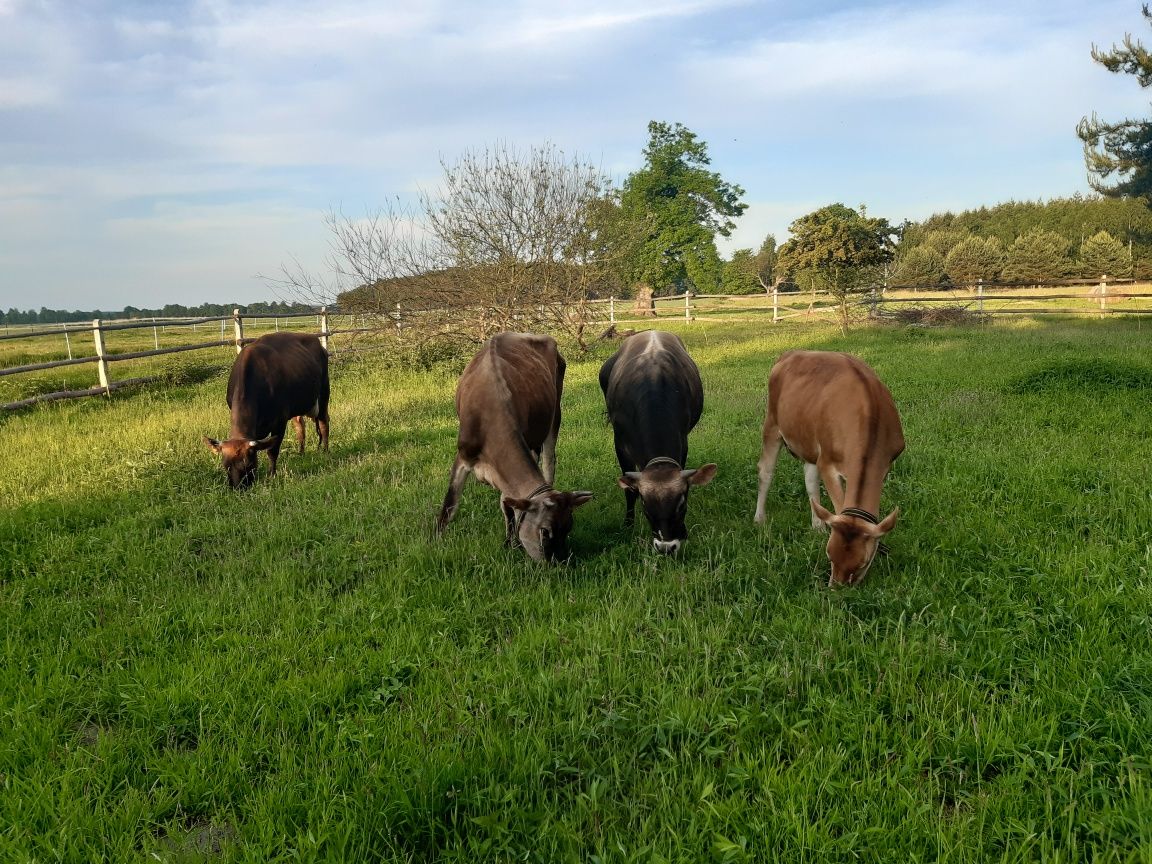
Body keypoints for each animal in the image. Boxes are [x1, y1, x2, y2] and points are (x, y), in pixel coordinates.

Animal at [201, 331, 329, 488]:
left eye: (249, 464)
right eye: (226, 466)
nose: (238, 488)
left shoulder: (280, 421)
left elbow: (272, 451)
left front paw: (271, 476)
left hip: (323, 394)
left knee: (323, 423)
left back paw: (325, 452)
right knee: (300, 427)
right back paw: (301, 453)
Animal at [433, 329, 589, 562]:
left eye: (568, 528)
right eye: (545, 531)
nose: (560, 561)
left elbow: (507, 502)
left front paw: (510, 542)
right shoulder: (463, 455)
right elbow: (450, 505)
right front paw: (435, 540)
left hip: (555, 412)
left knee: (549, 460)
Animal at [599, 331, 714, 555]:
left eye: (681, 503)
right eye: (645, 505)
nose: (666, 547)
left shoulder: (683, 442)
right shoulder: (620, 444)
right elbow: (629, 491)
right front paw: (628, 525)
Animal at [751, 352, 903, 589]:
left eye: (862, 563)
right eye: (829, 555)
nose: (837, 590)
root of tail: (790, 354)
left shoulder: (885, 464)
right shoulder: (827, 461)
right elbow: (840, 504)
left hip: (809, 440)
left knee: (810, 479)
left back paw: (818, 525)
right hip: (772, 424)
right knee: (765, 473)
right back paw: (760, 519)